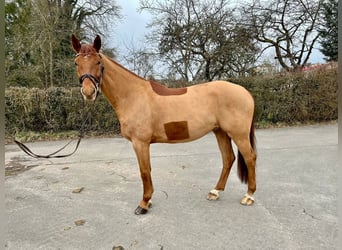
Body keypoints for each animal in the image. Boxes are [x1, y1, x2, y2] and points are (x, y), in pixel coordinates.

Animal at [71, 35, 255, 215]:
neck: (133, 95)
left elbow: (144, 172)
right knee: (228, 159)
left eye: (98, 62)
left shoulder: (140, 143)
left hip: (238, 134)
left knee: (250, 158)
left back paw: (249, 196)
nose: (88, 92)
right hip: (220, 132)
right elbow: (149, 170)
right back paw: (215, 192)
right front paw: (149, 200)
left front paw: (143, 204)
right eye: (76, 63)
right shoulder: (143, 144)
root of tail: (245, 92)